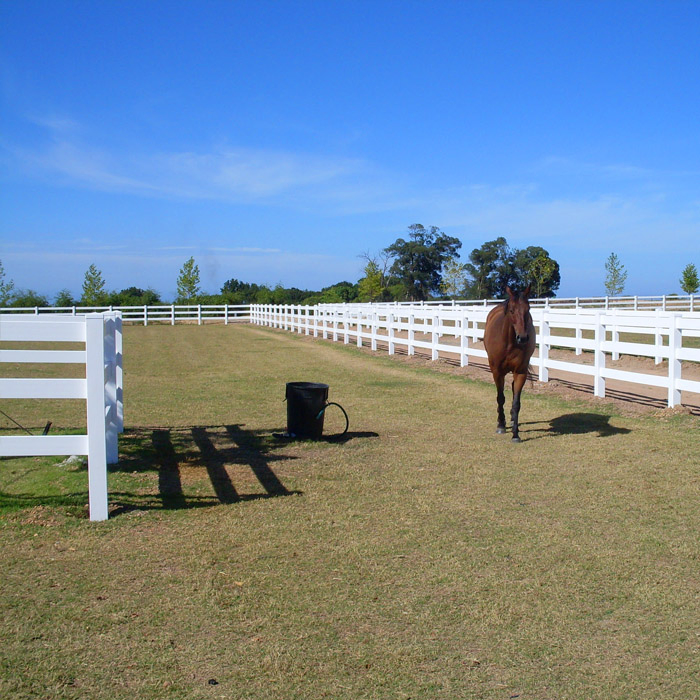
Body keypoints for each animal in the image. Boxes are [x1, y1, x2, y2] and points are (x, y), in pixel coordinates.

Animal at [483, 285, 536, 443]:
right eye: (512, 310)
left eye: (528, 309)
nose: (523, 338)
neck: (510, 343)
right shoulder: (497, 372)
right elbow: (500, 398)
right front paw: (501, 425)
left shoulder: (520, 372)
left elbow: (516, 402)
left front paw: (515, 434)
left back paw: (512, 420)